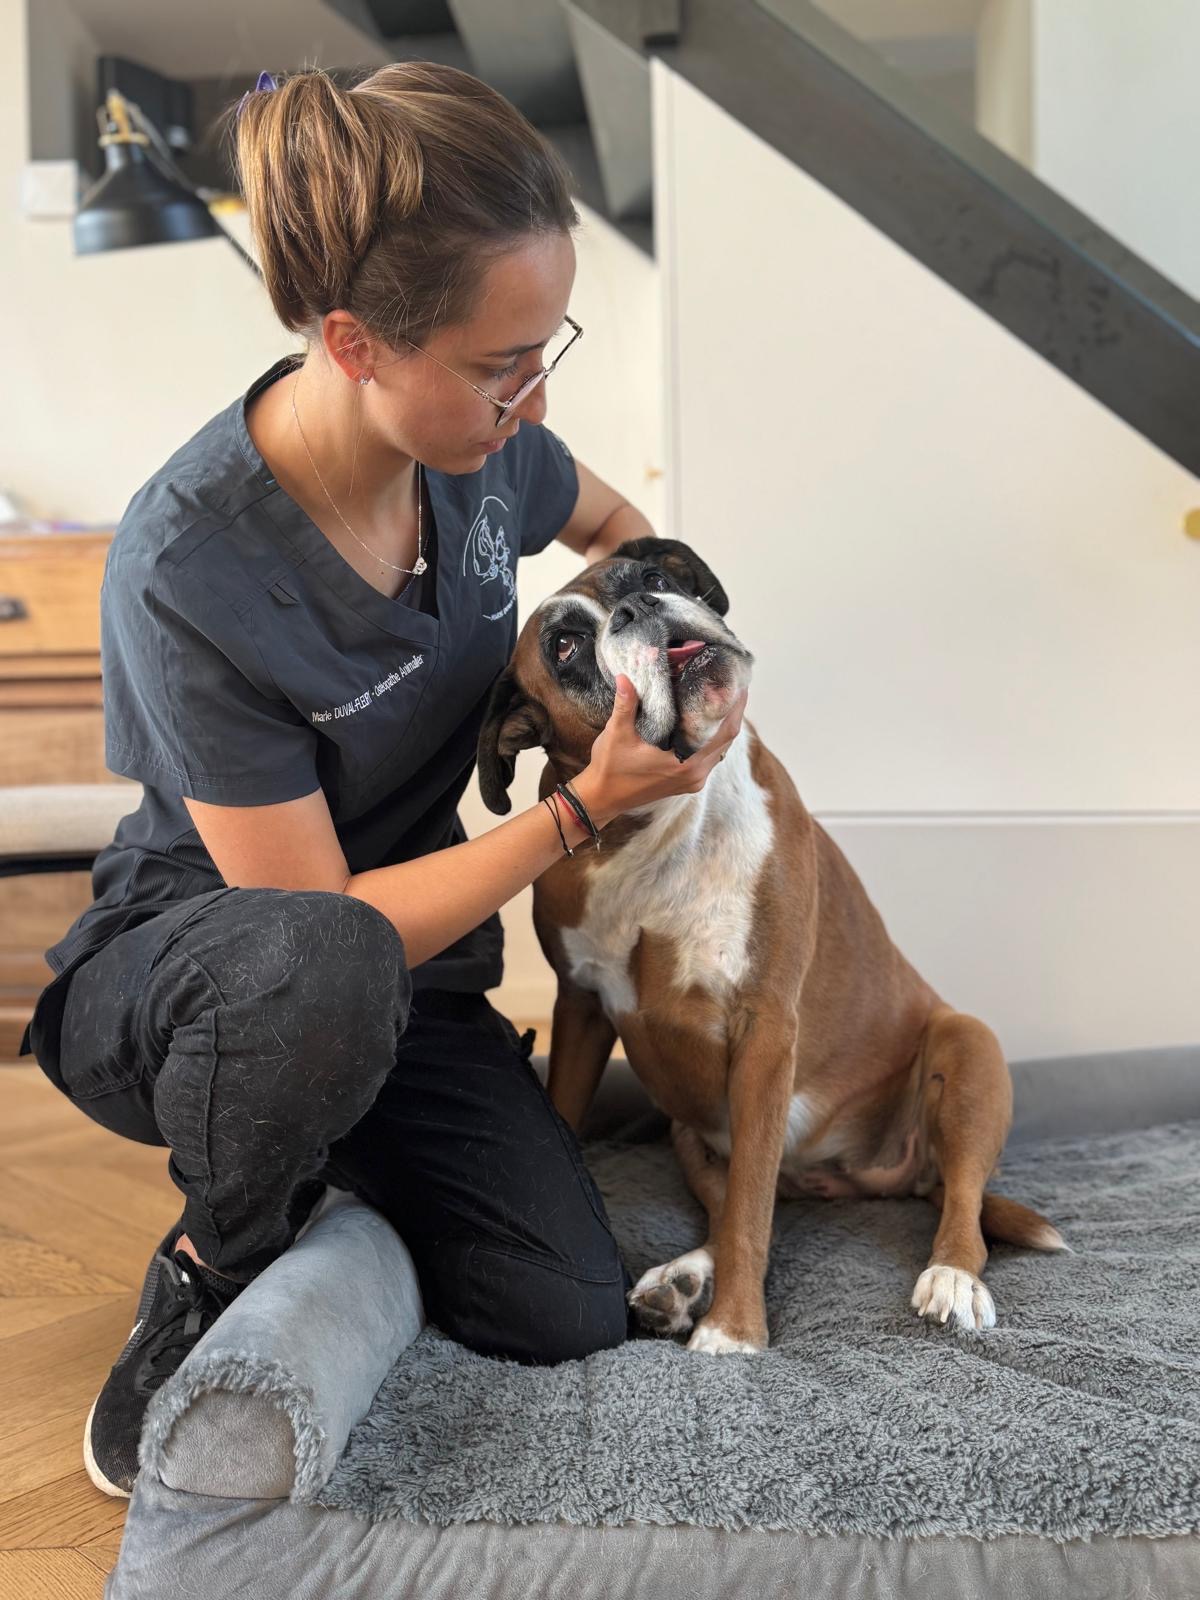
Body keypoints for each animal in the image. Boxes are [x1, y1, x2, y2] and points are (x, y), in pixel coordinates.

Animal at [477, 537, 1067, 1354]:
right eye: (564, 648)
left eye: (651, 577)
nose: (639, 608)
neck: (654, 826)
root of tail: (872, 1176)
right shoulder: (582, 1008)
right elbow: (703, 1186)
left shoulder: (764, 1034)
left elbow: (752, 1205)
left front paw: (732, 1334)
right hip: (690, 1129)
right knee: (741, 1207)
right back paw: (685, 1279)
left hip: (967, 1046)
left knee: (962, 1206)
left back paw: (951, 1276)